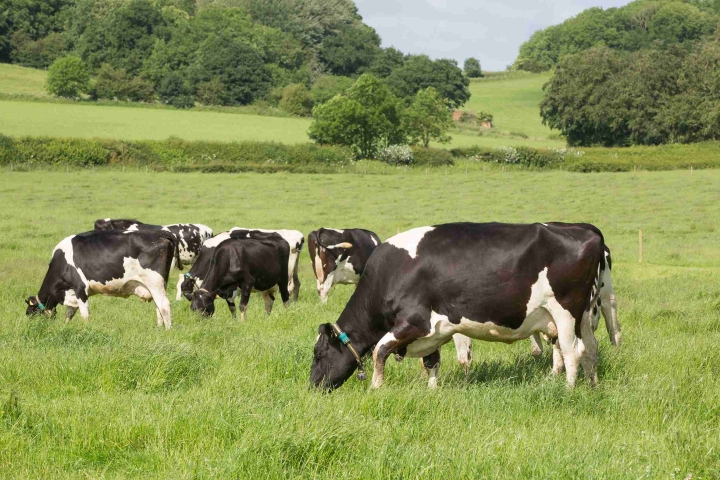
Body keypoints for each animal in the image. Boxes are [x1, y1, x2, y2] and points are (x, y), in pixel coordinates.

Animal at [25, 230, 181, 329]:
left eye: (30, 313)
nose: (33, 326)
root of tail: (159, 233)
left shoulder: (80, 287)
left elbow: (84, 314)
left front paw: (86, 329)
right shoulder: (72, 292)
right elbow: (70, 313)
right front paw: (65, 327)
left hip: (154, 281)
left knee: (164, 305)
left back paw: (168, 329)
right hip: (157, 284)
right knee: (158, 305)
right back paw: (159, 328)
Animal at [310, 222, 605, 391]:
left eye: (318, 353)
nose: (313, 385)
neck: (389, 273)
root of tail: (584, 231)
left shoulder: (414, 321)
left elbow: (379, 352)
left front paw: (375, 388)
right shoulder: (434, 331)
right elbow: (432, 362)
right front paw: (432, 392)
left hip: (566, 311)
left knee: (572, 351)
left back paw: (568, 390)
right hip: (584, 314)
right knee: (591, 348)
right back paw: (593, 385)